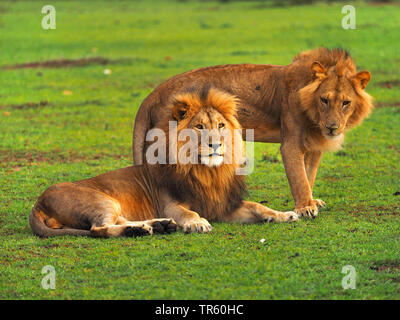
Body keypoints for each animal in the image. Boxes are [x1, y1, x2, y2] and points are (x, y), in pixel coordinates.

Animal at [133, 47, 374, 218]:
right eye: (324, 99)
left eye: (346, 103)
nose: (332, 127)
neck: (314, 114)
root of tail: (154, 93)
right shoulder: (290, 144)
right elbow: (299, 178)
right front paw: (305, 208)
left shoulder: (314, 146)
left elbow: (309, 175)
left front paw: (312, 202)